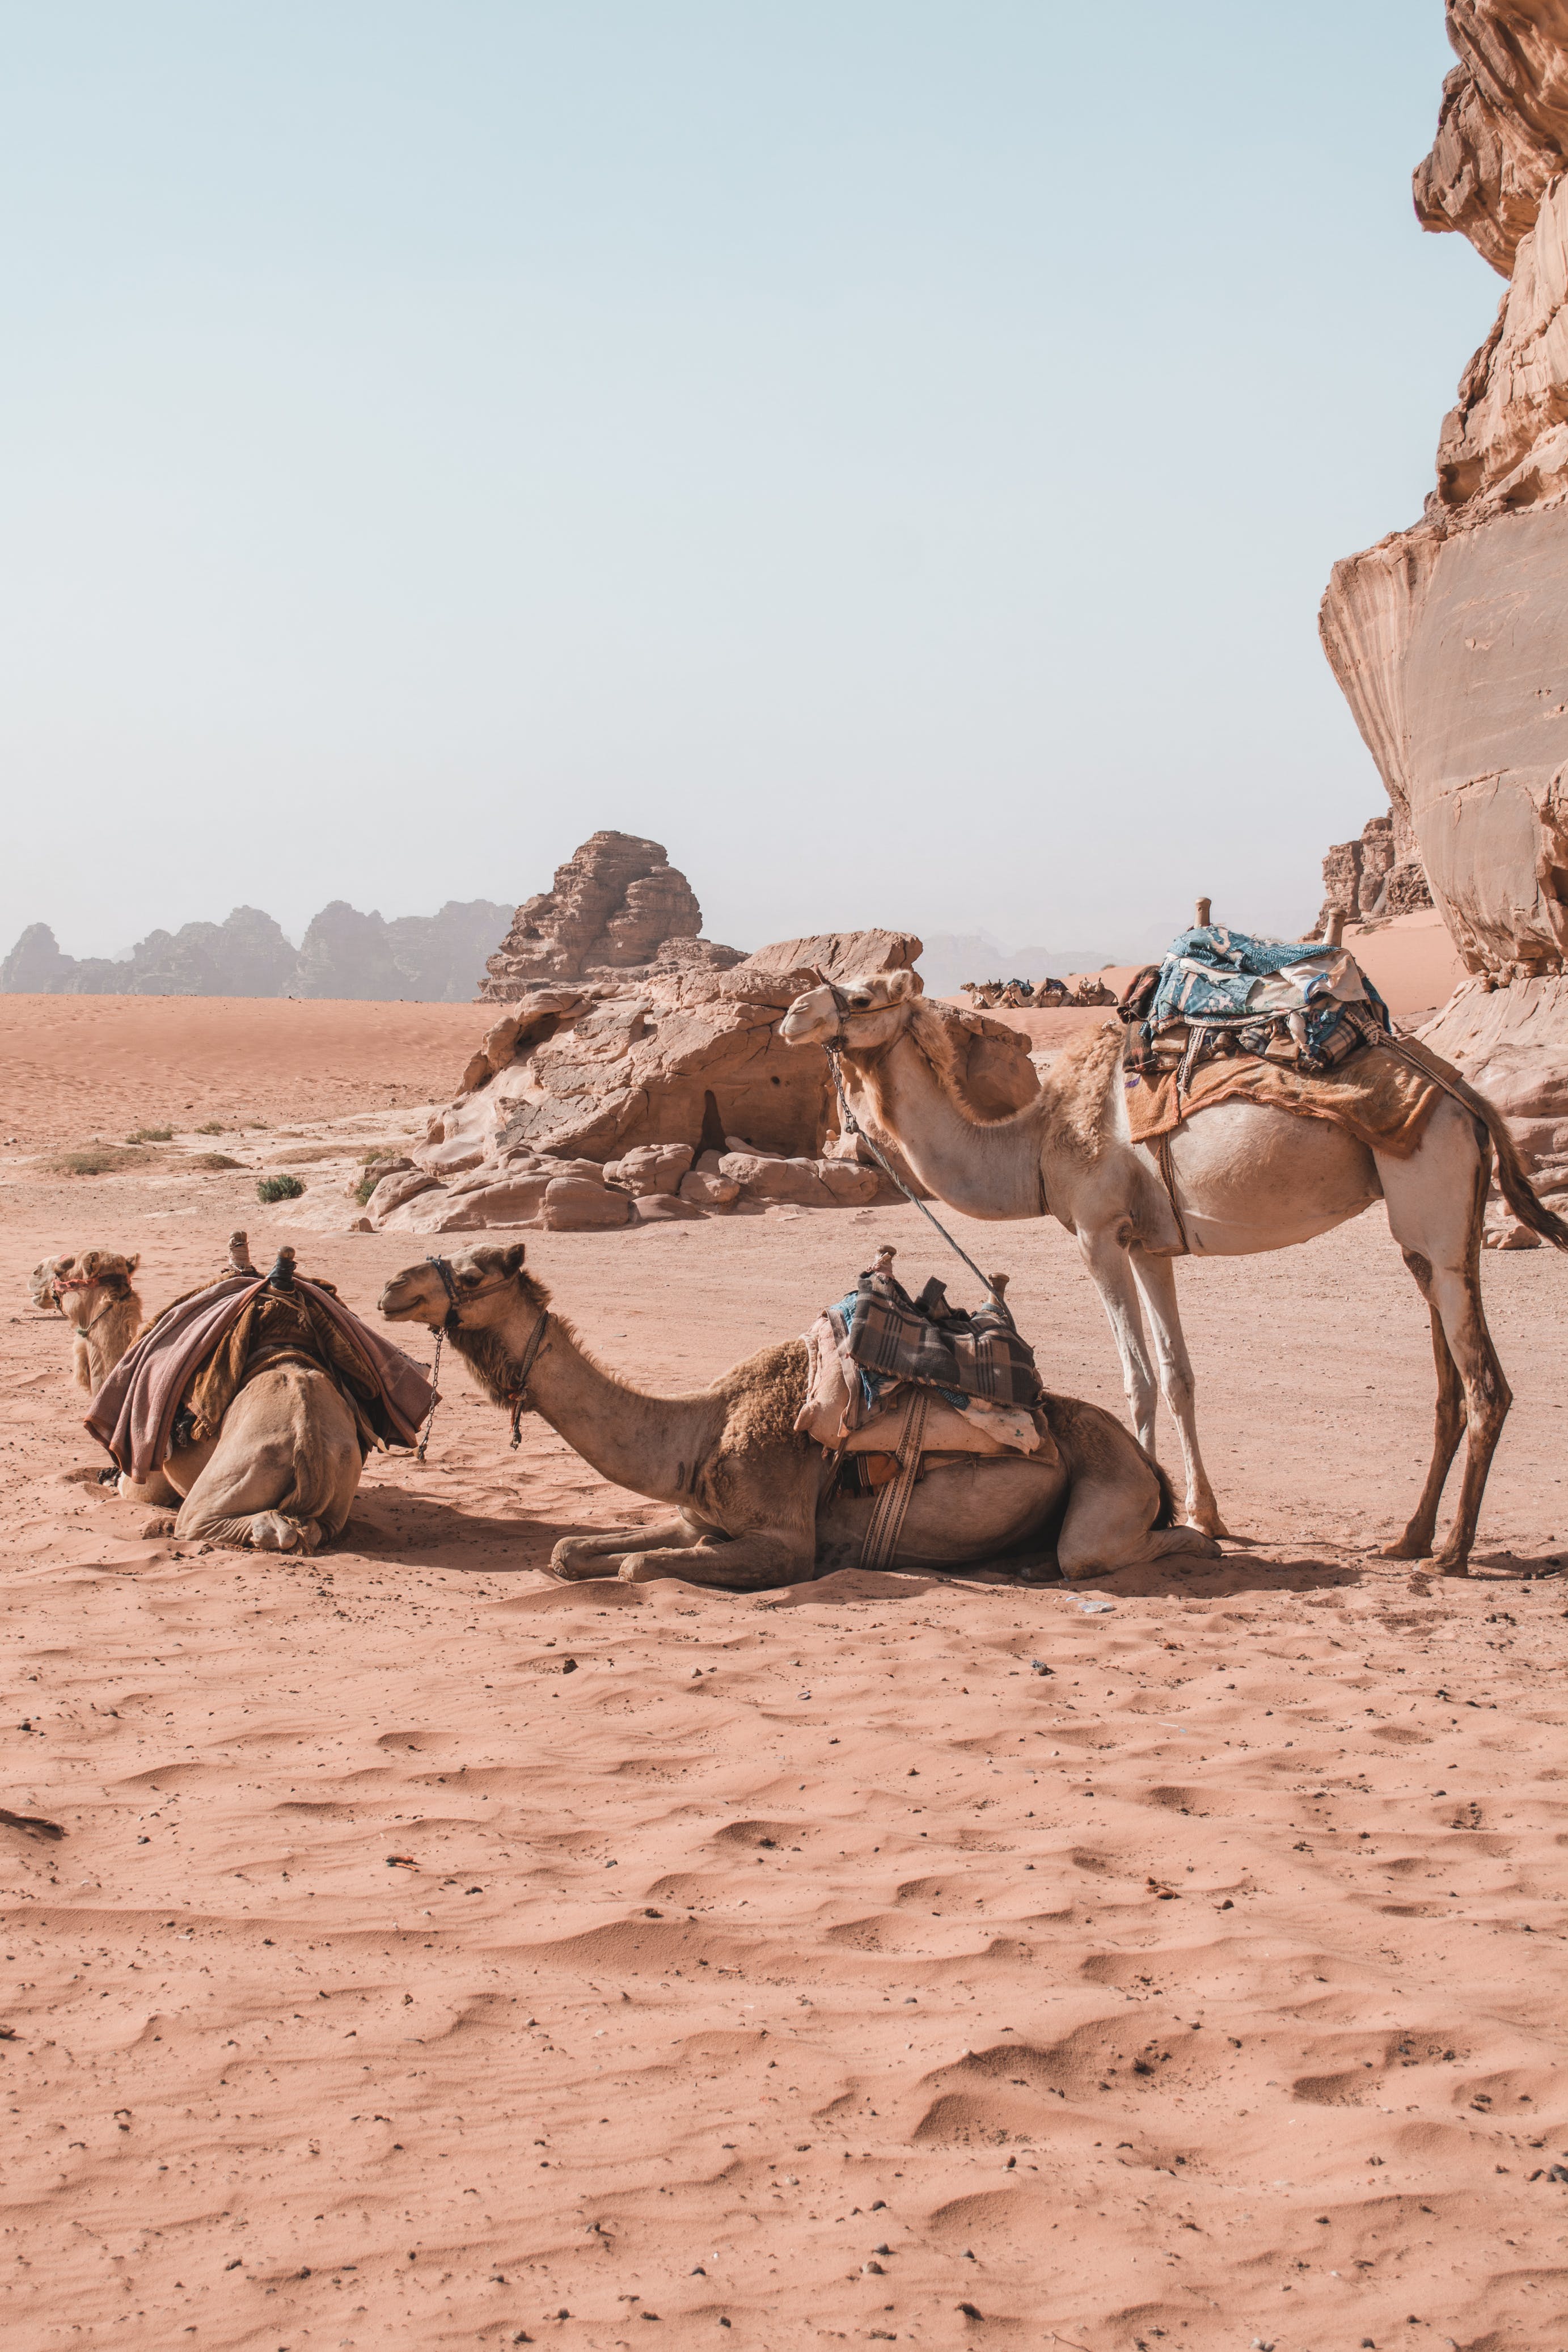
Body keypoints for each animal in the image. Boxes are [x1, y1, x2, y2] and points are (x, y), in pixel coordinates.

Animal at [376, 1242, 1213, 1590]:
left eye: (473, 1274)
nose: (390, 1287)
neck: (698, 1431)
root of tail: (1145, 1462)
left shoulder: (783, 1541)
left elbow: (638, 1567)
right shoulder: (696, 1516)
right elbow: (571, 1548)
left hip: (1108, 1492)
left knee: (1121, 1546)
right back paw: (1025, 1561)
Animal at [775, 964, 1568, 1571]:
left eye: (864, 995)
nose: (791, 1015)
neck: (1033, 1147)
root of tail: (1469, 1098)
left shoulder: (1097, 1233)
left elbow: (1137, 1378)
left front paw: (1148, 1506)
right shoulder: (1149, 1245)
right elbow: (1178, 1374)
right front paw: (1203, 1514)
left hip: (1430, 1187)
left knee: (1484, 1384)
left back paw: (1451, 1555)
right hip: (1430, 1229)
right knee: (1447, 1379)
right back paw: (1406, 1539)